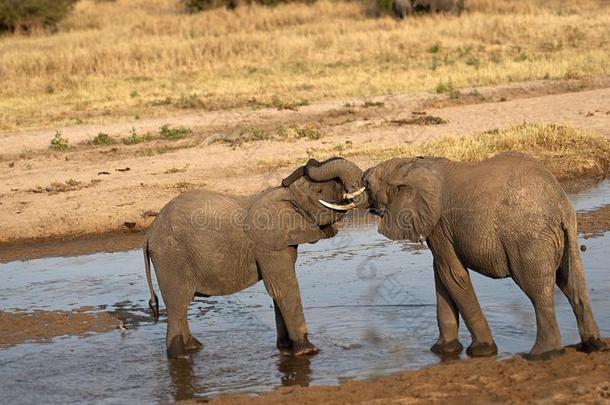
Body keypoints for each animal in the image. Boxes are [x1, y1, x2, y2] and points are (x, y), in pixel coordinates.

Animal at [143, 156, 364, 358]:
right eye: (319, 192)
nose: (310, 161)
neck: (283, 193)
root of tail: (149, 234)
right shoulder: (267, 245)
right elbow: (285, 287)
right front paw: (307, 351)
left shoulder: (280, 242)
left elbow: (277, 291)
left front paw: (285, 349)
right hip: (171, 258)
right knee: (177, 304)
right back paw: (180, 356)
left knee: (180, 307)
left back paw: (194, 348)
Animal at [328, 152, 604, 360]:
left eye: (369, 184)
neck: (413, 164)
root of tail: (558, 205)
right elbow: (441, 275)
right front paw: (443, 351)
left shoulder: (438, 221)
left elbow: (452, 274)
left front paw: (481, 351)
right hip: (569, 233)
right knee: (574, 283)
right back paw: (594, 345)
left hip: (527, 239)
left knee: (538, 290)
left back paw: (542, 355)